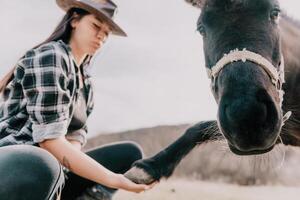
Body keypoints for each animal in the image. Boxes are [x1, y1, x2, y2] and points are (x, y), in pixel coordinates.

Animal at [124, 0, 300, 184]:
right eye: (201, 28)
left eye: (275, 12)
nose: (246, 116)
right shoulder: (283, 131)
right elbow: (198, 128)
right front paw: (151, 165)